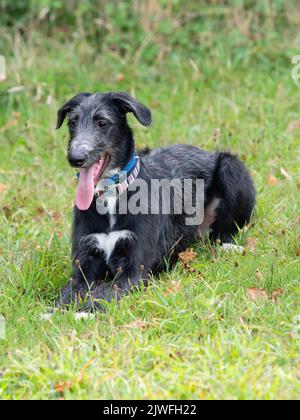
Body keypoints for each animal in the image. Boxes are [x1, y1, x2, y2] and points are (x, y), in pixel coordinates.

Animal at [55, 92, 255, 310]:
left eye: (102, 122)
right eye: (72, 122)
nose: (75, 158)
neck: (111, 197)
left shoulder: (134, 271)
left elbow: (102, 294)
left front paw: (84, 311)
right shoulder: (83, 266)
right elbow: (68, 293)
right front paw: (55, 312)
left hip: (231, 167)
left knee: (223, 232)